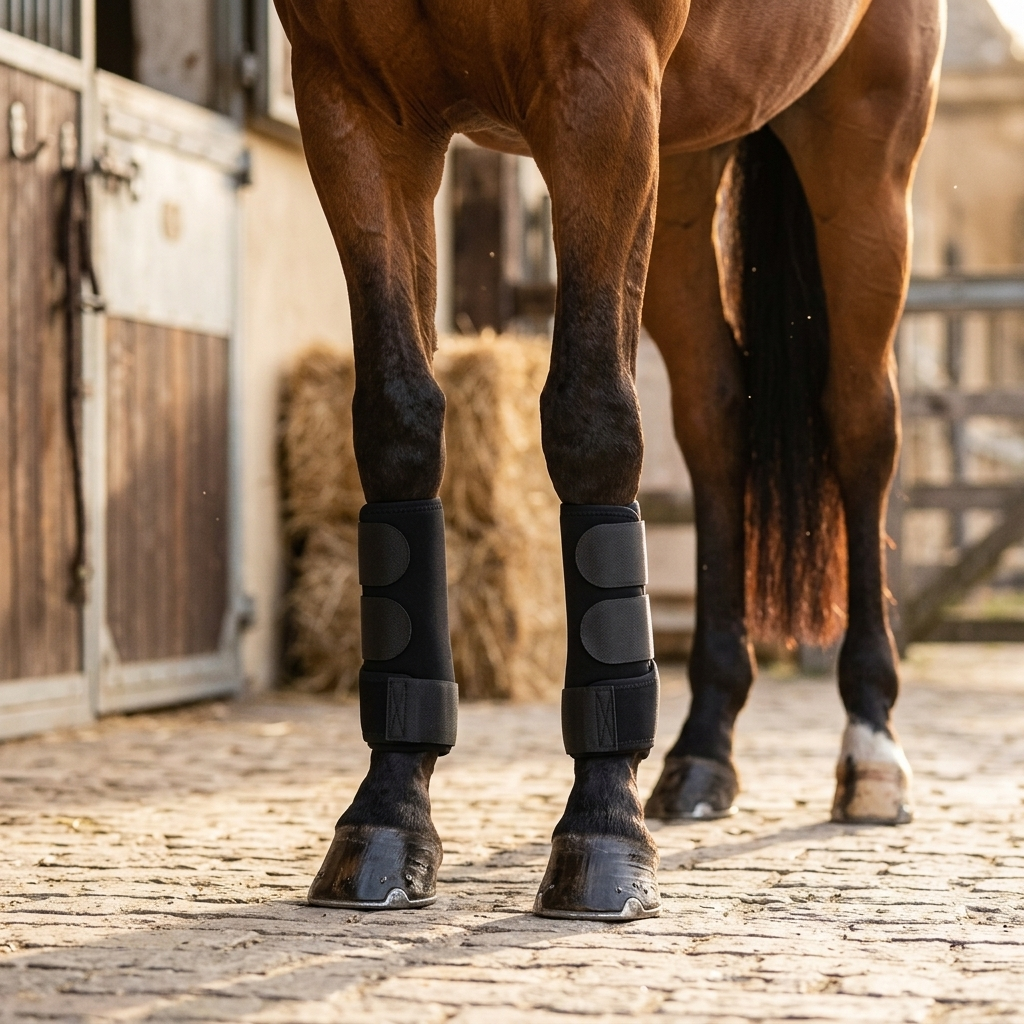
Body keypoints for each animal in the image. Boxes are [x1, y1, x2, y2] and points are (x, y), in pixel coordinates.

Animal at [274, 0, 942, 920]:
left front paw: (603, 829)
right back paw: (701, 752)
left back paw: (871, 747)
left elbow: (592, 420)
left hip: (862, 154)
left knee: (861, 425)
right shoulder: (352, 104)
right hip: (685, 162)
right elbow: (396, 422)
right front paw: (388, 814)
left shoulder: (603, 89)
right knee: (715, 419)